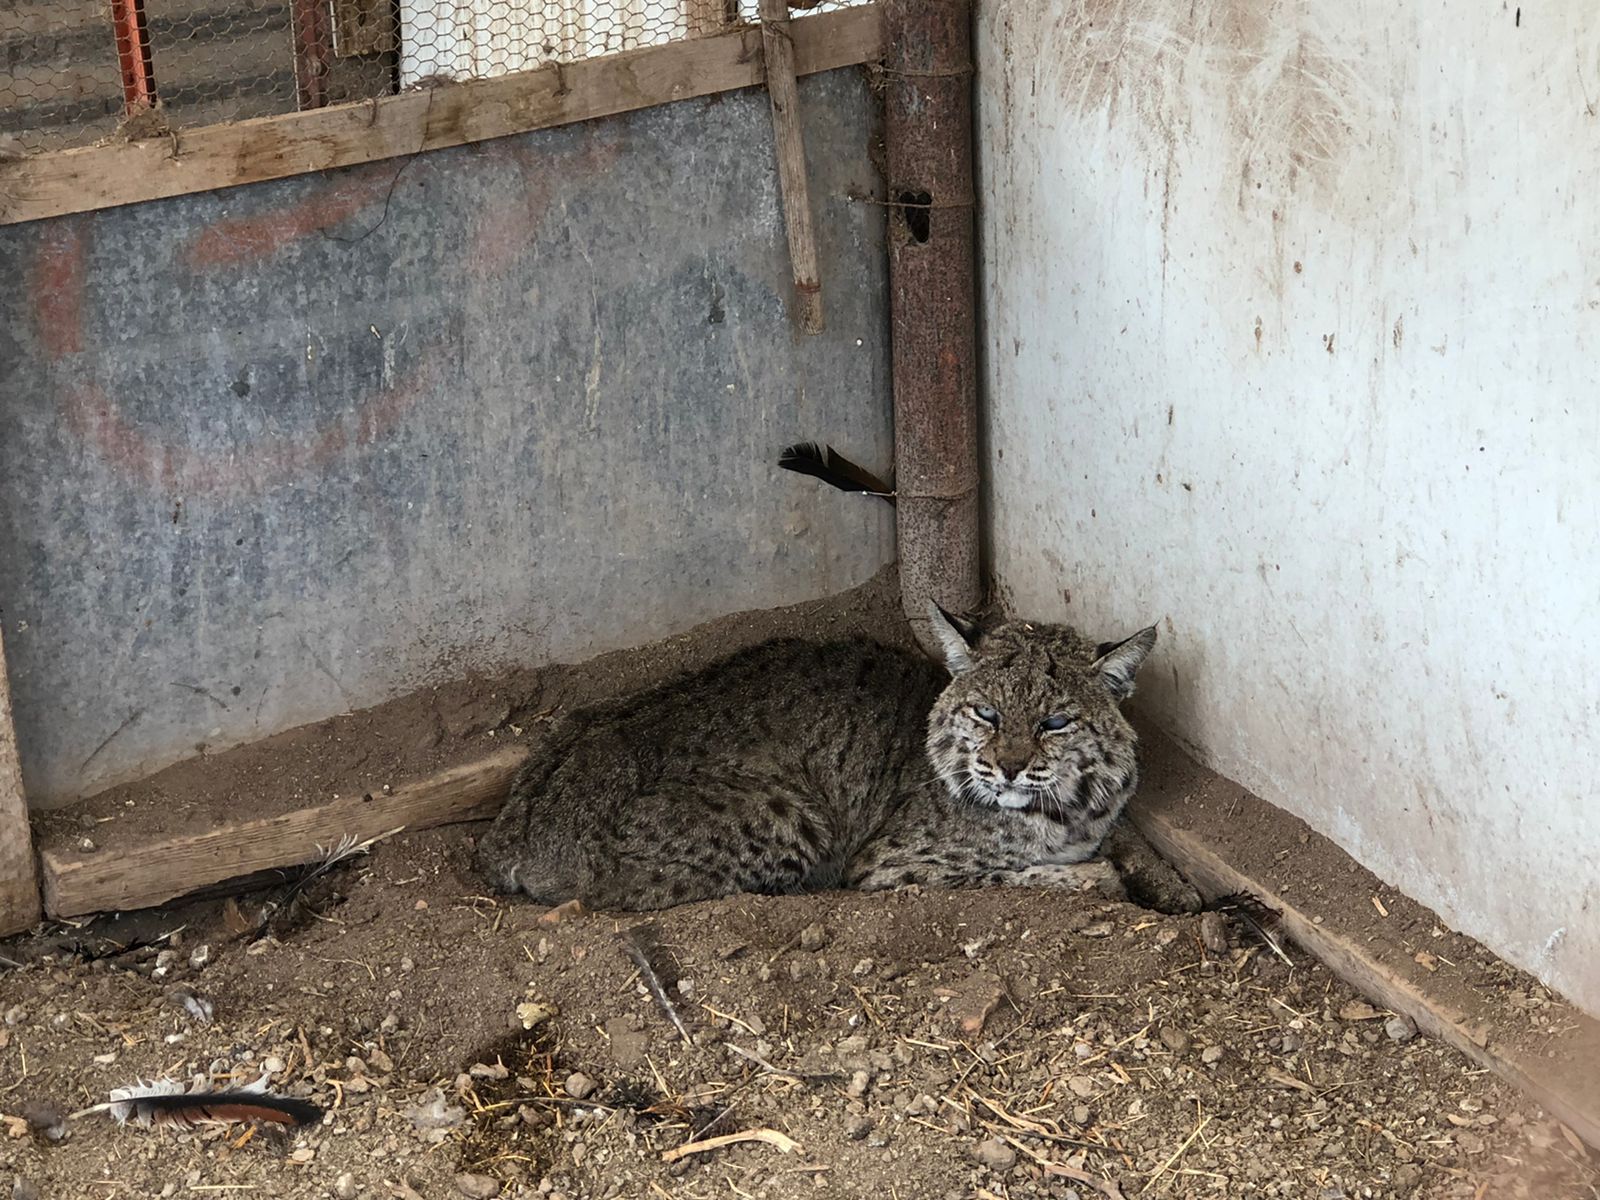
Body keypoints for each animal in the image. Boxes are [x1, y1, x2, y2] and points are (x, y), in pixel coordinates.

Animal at [467, 604, 1196, 915]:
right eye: (986, 714)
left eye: (1054, 722)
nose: (1011, 768)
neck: (1062, 805)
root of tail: (514, 826)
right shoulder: (885, 866)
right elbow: (1040, 876)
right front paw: (1104, 878)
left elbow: (1122, 844)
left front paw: (1173, 886)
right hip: (792, 812)